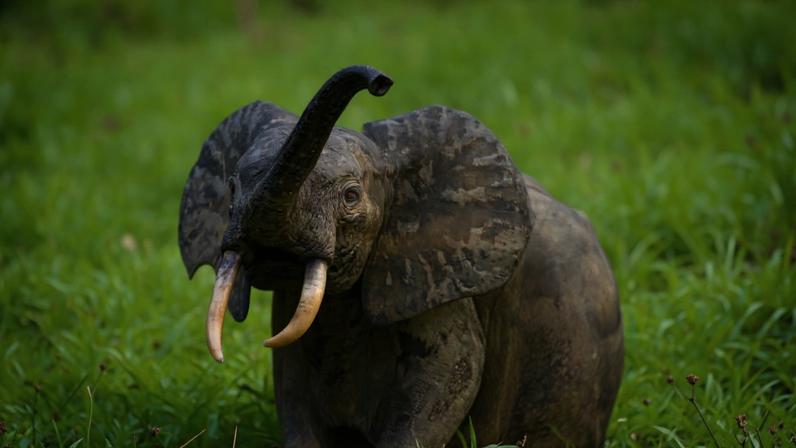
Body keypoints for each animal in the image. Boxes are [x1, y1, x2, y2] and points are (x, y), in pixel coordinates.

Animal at [178, 65, 623, 447]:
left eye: (351, 196)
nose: (380, 81)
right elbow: (291, 374)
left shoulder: (436, 271)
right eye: (231, 188)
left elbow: (449, 370)